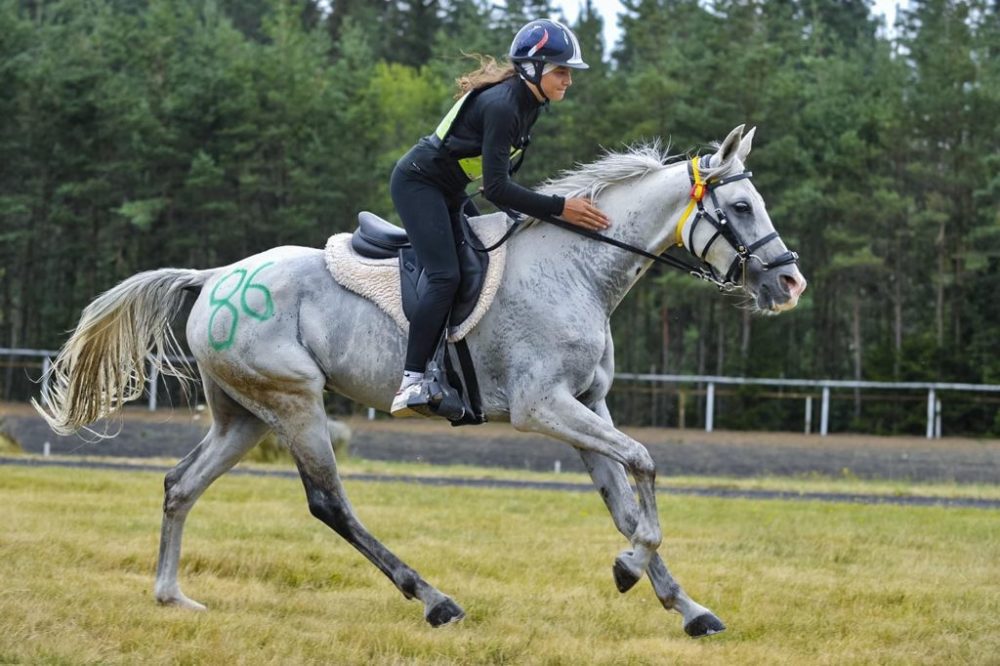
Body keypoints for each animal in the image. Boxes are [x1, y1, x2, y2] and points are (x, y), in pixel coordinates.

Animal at [35, 124, 808, 640]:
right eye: (741, 208)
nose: (790, 284)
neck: (578, 267)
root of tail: (217, 276)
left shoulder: (584, 406)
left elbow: (626, 500)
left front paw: (688, 607)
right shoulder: (543, 408)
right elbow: (644, 467)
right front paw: (626, 569)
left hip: (243, 415)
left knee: (180, 484)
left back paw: (171, 596)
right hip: (295, 403)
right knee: (329, 504)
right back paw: (435, 599)